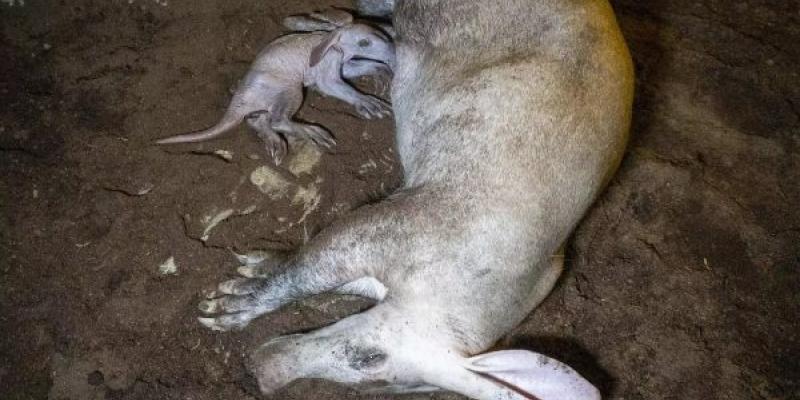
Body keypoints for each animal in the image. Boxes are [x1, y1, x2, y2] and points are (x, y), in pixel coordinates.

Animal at [156, 9, 394, 165]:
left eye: (381, 33)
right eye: (364, 43)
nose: (392, 50)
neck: (331, 41)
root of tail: (241, 99)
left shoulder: (343, 62)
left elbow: (358, 69)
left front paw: (383, 73)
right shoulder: (327, 64)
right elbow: (332, 85)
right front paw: (368, 102)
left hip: (265, 102)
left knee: (256, 120)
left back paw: (275, 143)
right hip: (289, 89)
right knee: (277, 120)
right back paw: (313, 132)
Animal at [197, 1, 634, 399]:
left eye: (392, 385)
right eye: (369, 358)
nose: (258, 375)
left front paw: (245, 270)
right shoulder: (394, 220)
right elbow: (307, 267)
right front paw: (220, 310)